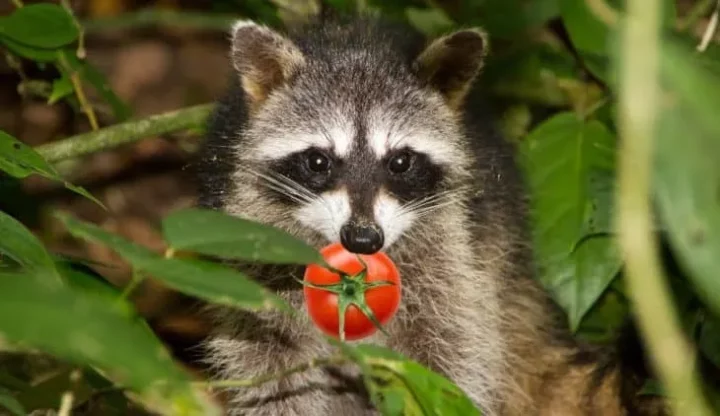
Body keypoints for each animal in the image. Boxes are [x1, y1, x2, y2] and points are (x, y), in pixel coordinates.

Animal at [194, 13, 668, 416]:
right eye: (317, 162)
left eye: (400, 162)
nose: (363, 239)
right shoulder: (253, 241)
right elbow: (268, 366)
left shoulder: (451, 250)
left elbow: (452, 353)